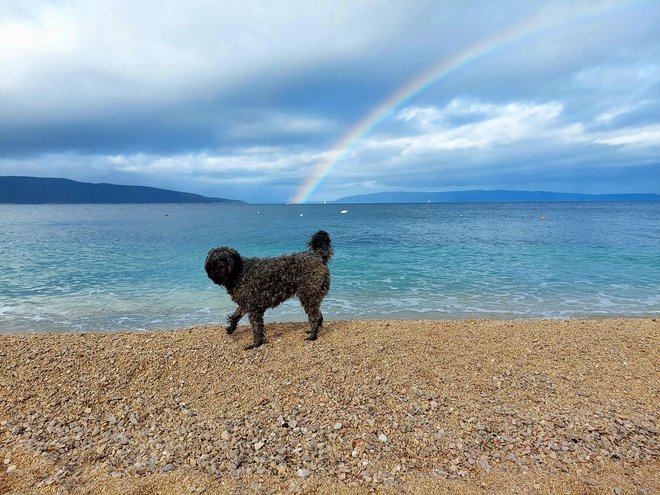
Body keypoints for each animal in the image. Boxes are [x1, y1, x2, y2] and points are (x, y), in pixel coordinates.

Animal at [204, 230, 332, 348]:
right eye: (212, 256)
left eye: (224, 258)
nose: (212, 266)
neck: (238, 272)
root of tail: (318, 256)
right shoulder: (245, 304)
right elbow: (236, 315)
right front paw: (231, 328)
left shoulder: (253, 308)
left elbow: (257, 328)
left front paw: (256, 344)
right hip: (312, 297)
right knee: (319, 316)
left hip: (308, 296)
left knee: (315, 317)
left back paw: (312, 335)